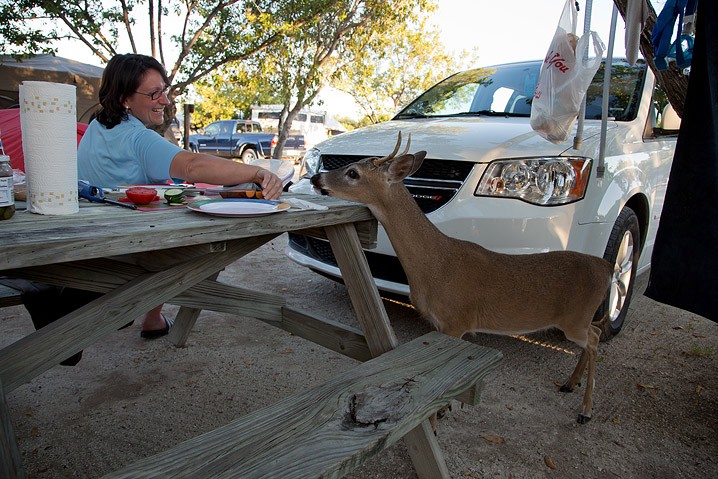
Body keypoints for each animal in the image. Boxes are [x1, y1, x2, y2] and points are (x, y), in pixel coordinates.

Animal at [310, 133, 612, 426]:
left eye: (353, 172)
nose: (315, 179)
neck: (437, 264)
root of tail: (606, 267)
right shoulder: (441, 324)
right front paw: (446, 409)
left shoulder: (456, 320)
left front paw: (436, 418)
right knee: (593, 337)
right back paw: (570, 384)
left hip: (575, 318)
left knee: (595, 338)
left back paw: (585, 410)